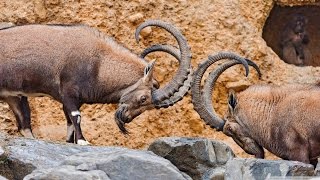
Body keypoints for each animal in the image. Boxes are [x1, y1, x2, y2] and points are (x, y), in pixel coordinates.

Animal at [0, 20, 192, 146]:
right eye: (144, 98)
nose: (125, 118)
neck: (99, 62)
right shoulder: (68, 91)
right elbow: (76, 116)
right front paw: (83, 141)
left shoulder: (74, 99)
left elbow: (69, 121)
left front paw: (71, 142)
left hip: (15, 97)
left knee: (24, 125)